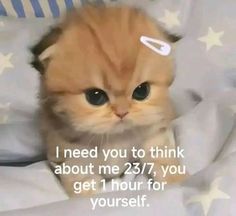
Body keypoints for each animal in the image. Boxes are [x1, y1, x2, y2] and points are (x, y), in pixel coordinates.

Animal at [30, 4, 184, 196]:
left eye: (142, 91)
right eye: (95, 96)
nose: (122, 112)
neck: (114, 138)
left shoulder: (154, 135)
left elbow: (165, 162)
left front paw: (179, 182)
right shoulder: (73, 162)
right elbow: (83, 189)